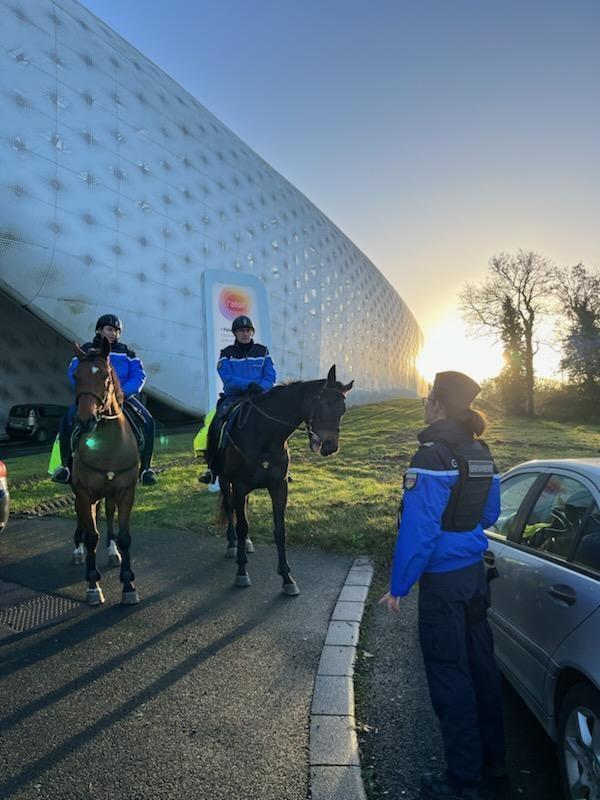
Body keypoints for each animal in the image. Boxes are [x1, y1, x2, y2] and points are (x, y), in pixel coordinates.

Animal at [71, 338, 140, 608]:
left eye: (106, 377)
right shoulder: (83, 492)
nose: (86, 420)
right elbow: (92, 536)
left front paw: (129, 585)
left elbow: (125, 536)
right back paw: (78, 550)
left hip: (109, 493)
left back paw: (112, 552)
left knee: (108, 515)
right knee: (82, 519)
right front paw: (93, 586)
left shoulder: (125, 491)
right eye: (76, 377)